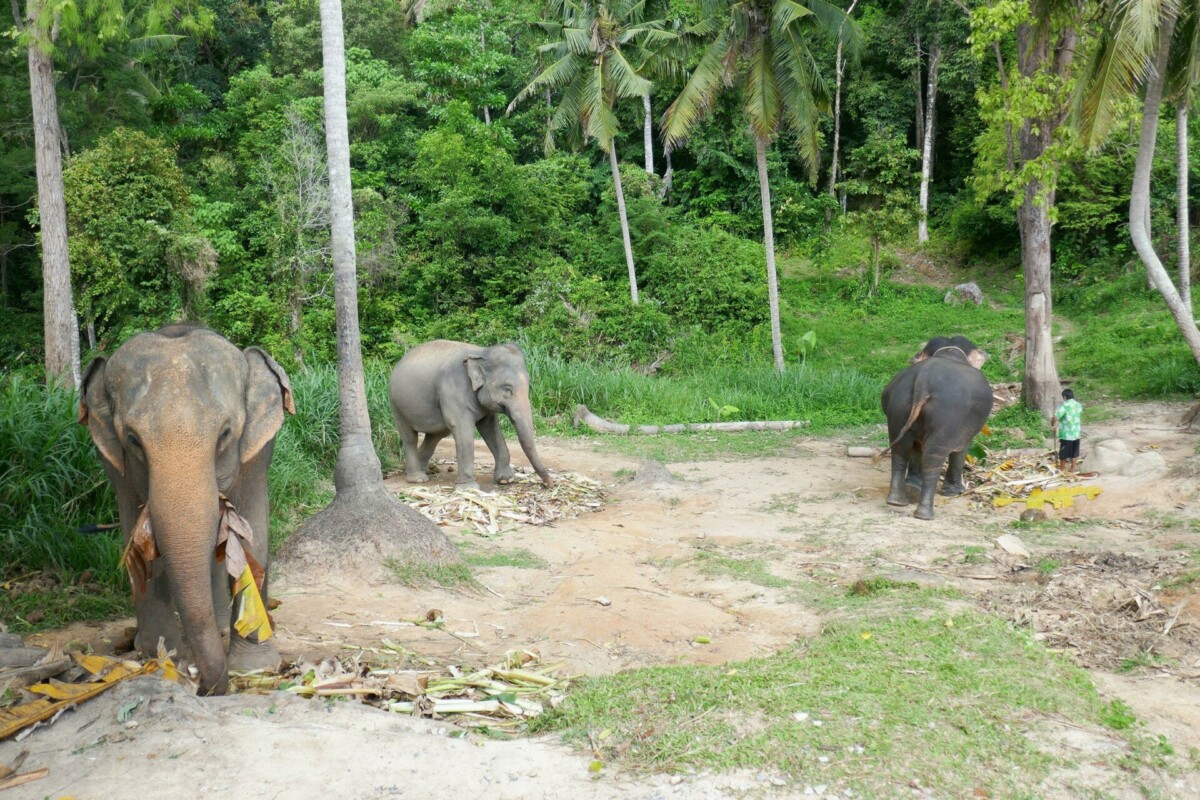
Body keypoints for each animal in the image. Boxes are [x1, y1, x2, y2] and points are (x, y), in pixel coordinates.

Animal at [80, 326, 295, 695]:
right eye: (133, 439)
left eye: (225, 433)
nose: (201, 686)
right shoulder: (117, 464)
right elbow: (140, 541)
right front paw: (161, 659)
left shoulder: (257, 451)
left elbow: (252, 532)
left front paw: (255, 666)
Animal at [388, 340, 552, 491]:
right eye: (507, 388)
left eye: (528, 386)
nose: (549, 484)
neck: (482, 352)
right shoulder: (453, 391)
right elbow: (462, 428)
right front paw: (468, 488)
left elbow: (490, 428)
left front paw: (506, 480)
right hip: (397, 405)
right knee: (409, 437)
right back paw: (418, 478)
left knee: (436, 435)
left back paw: (425, 470)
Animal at [883, 335, 993, 520]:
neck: (949, 351)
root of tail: (924, 381)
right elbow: (961, 450)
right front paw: (955, 492)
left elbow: (916, 447)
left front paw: (914, 485)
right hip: (947, 415)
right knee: (933, 458)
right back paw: (924, 513)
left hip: (899, 407)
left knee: (900, 451)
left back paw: (898, 500)